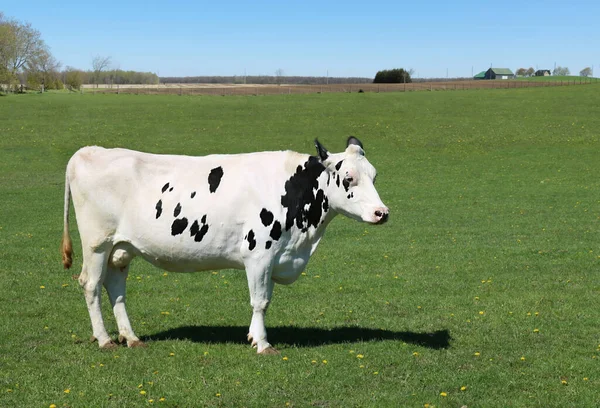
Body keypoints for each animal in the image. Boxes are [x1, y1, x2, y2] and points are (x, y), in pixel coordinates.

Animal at [62, 137, 390, 354]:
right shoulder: (259, 254)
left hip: (121, 248)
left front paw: (254, 336)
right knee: (91, 285)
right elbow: (261, 301)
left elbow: (265, 298)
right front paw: (262, 343)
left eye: (374, 175)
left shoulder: (274, 257)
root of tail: (88, 151)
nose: (382, 213)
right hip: (97, 244)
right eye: (348, 178)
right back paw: (104, 339)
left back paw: (130, 337)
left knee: (116, 288)